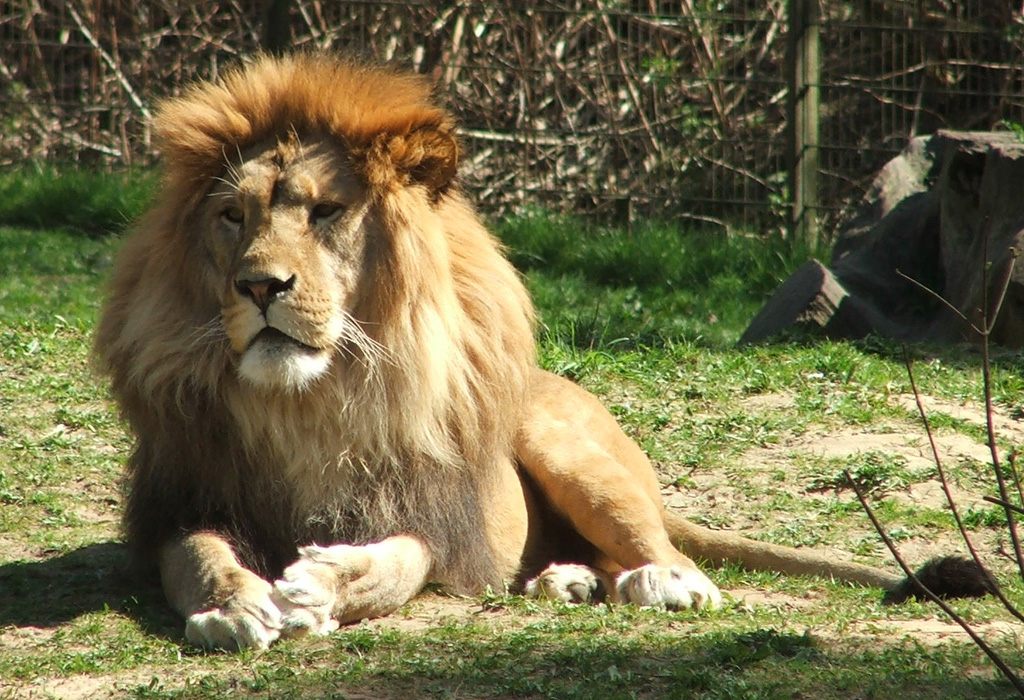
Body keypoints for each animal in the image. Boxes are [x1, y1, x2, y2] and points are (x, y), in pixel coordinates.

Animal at [96, 54, 991, 650]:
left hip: (568, 450)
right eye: (234, 218)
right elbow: (198, 558)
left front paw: (320, 583)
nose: (259, 286)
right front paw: (237, 604)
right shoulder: (185, 500)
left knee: (668, 551)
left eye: (325, 213)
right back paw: (567, 580)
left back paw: (660, 584)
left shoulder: (433, 513)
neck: (308, 401)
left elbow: (395, 563)